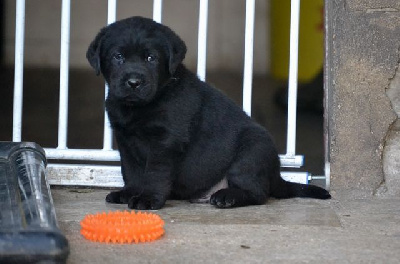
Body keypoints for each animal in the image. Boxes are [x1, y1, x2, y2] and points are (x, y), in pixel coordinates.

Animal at [86, 16, 330, 210]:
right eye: (118, 57)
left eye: (150, 58)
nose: (134, 82)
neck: (139, 107)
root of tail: (276, 174)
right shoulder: (125, 140)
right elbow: (131, 171)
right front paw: (129, 192)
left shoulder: (165, 142)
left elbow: (154, 173)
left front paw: (147, 198)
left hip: (252, 150)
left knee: (258, 192)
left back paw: (227, 197)